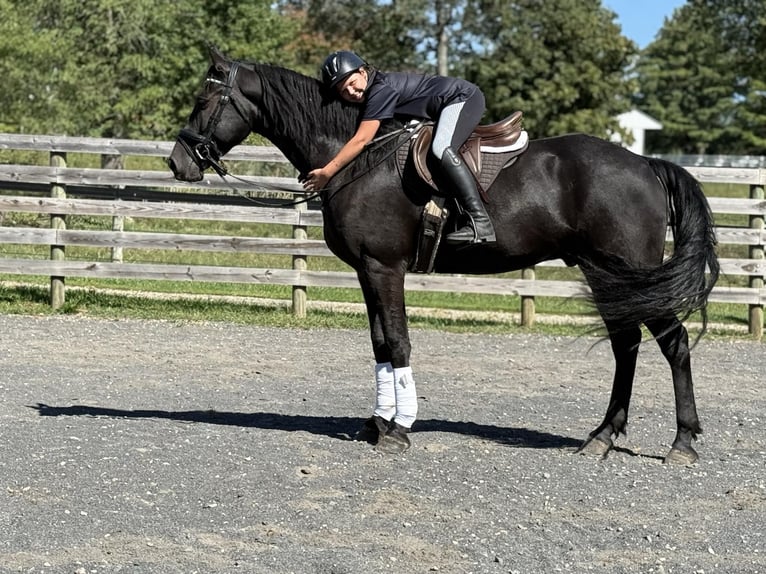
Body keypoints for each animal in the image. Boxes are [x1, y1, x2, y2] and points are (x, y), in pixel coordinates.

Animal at [169, 48, 719, 464]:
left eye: (203, 99)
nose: (177, 163)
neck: (358, 158)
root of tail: (645, 163)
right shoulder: (368, 272)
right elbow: (380, 345)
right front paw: (379, 421)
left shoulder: (385, 268)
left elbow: (399, 342)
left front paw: (398, 429)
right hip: (606, 275)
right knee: (627, 345)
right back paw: (602, 437)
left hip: (632, 272)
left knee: (673, 343)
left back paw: (682, 442)